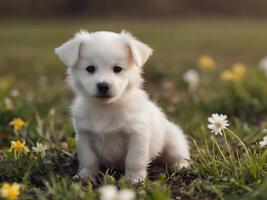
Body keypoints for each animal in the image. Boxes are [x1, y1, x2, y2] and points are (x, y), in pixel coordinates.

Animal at [55, 30, 191, 183]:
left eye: (117, 69)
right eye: (90, 68)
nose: (103, 86)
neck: (106, 108)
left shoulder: (137, 136)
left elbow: (134, 159)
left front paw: (134, 179)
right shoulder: (84, 135)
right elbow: (88, 159)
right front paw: (85, 176)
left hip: (174, 142)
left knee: (178, 156)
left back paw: (181, 167)